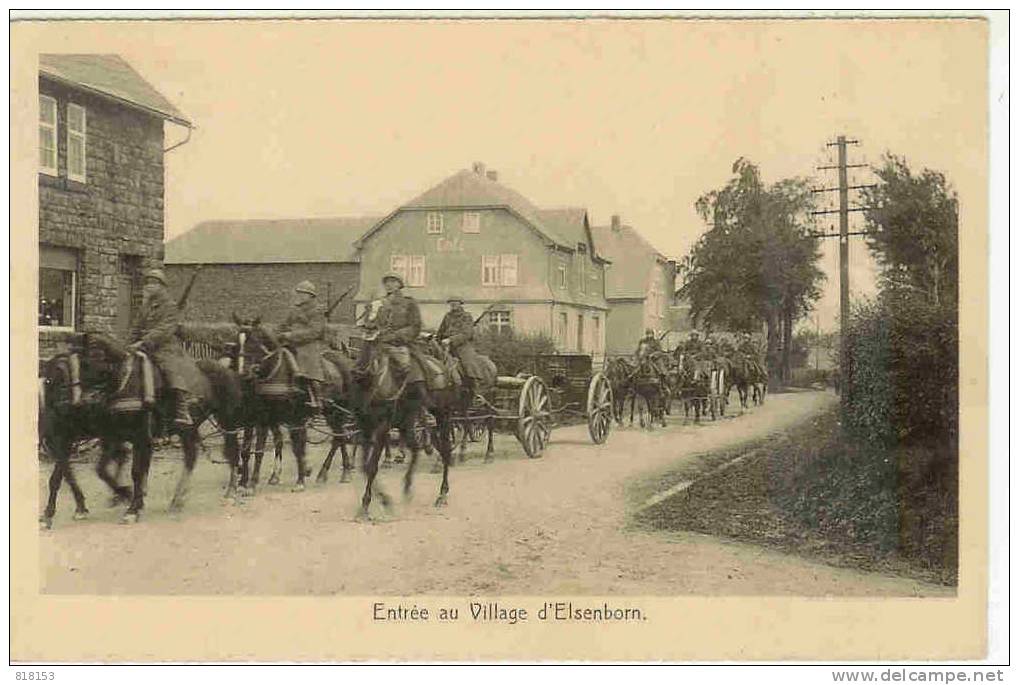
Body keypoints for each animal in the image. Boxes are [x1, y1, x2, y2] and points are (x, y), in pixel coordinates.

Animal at [40, 334, 248, 525]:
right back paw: (177, 500)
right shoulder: (92, 438)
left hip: (226, 421)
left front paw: (132, 506)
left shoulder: (139, 437)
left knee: (232, 452)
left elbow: (135, 472)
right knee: (191, 456)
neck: (125, 383)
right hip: (189, 428)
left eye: (88, 363)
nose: (77, 404)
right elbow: (70, 474)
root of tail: (226, 369)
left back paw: (231, 492)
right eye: (48, 380)